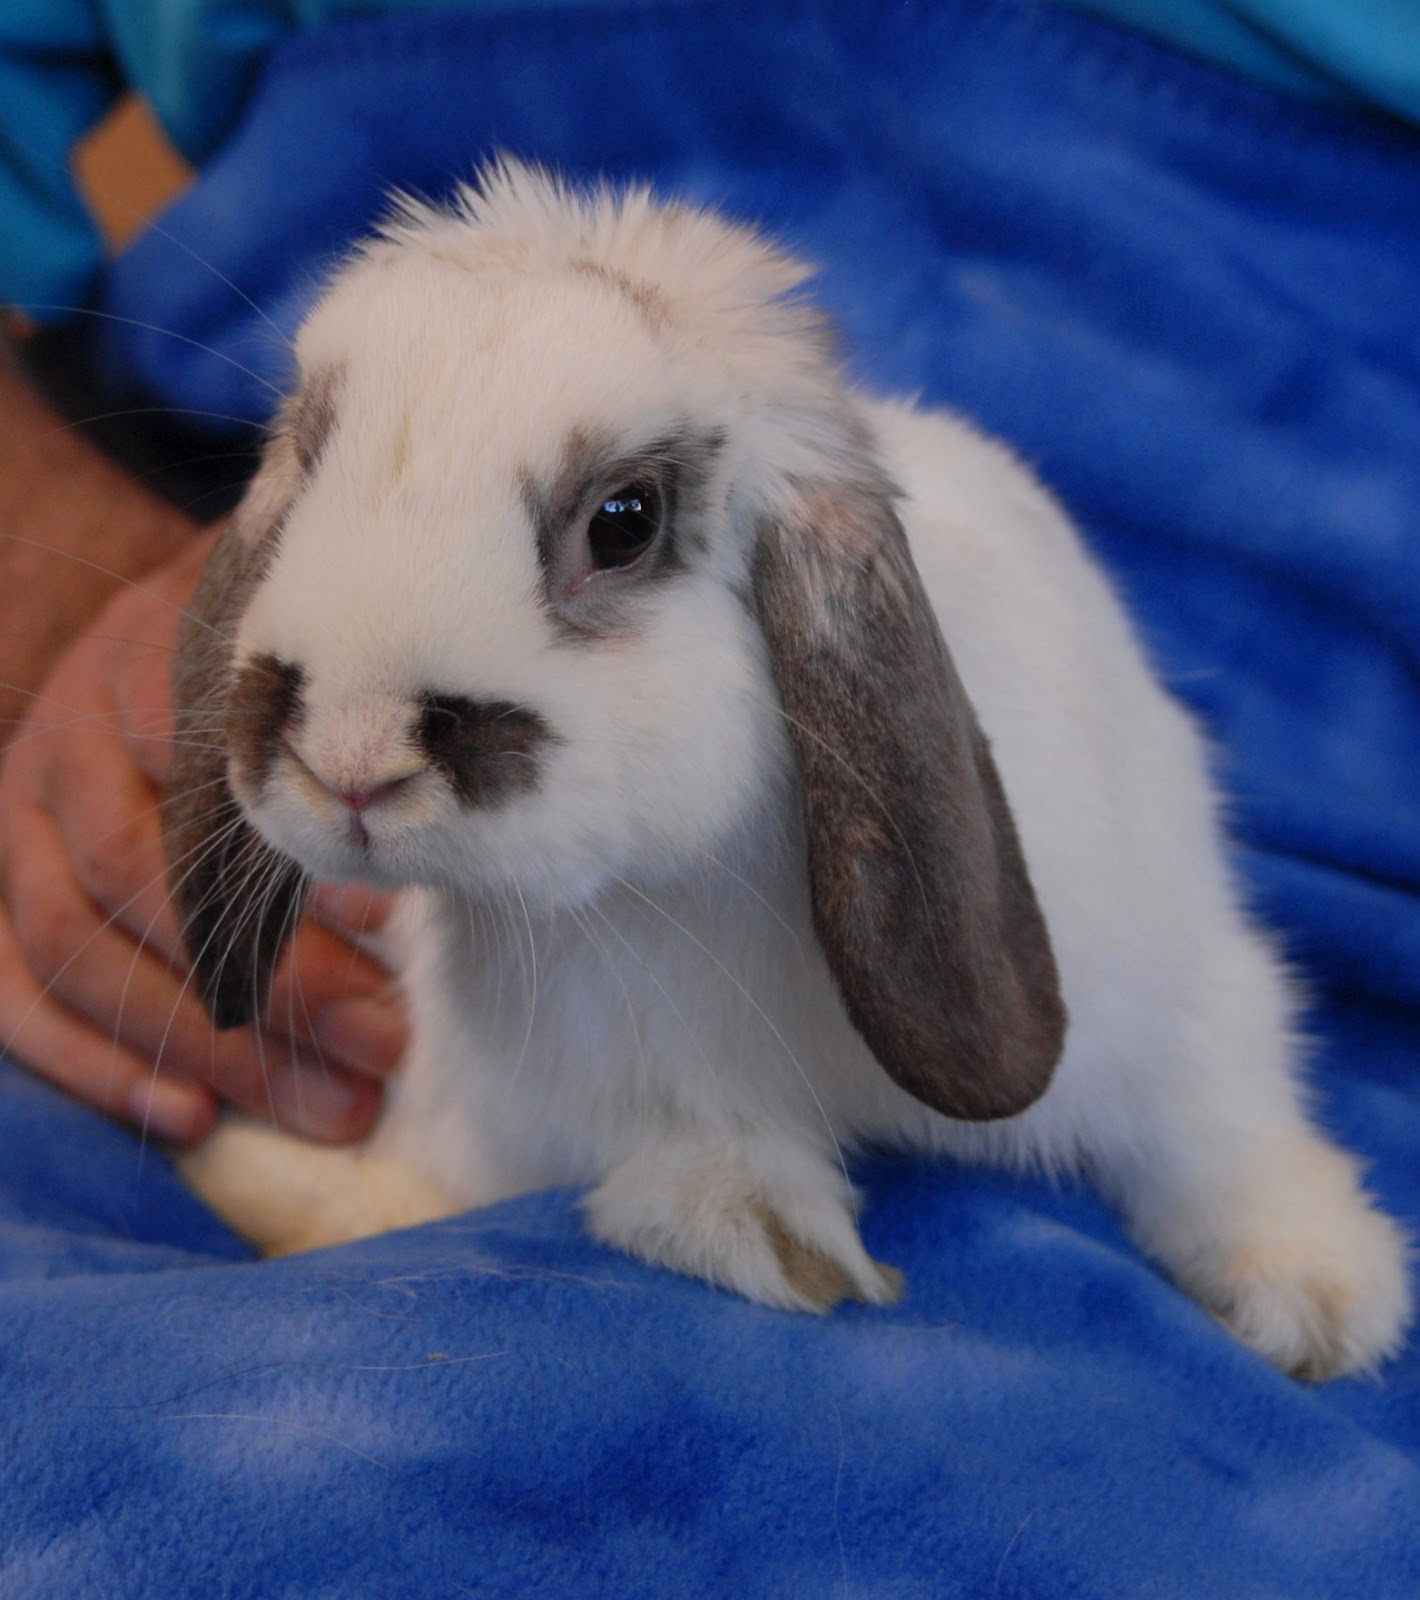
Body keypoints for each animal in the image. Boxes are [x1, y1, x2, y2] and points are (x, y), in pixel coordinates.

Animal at [164, 159, 1411, 1381]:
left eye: (624, 520)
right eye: (306, 465)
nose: (350, 757)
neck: (674, 890)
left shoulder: (1173, 987)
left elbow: (1217, 1117)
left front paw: (1326, 1298)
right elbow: (693, 1156)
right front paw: (767, 1234)